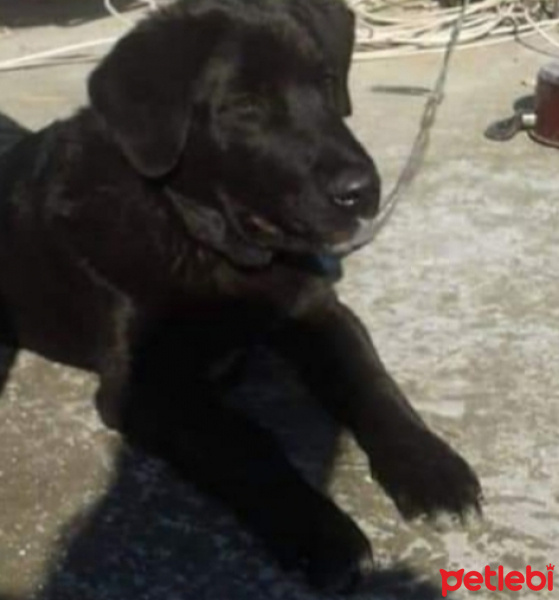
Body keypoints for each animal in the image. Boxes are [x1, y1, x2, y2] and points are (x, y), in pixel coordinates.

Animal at [0, 0, 482, 592]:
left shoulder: (318, 312)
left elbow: (372, 384)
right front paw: (319, 528)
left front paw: (430, 467)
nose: (363, 191)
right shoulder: (144, 386)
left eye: (327, 82)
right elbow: (246, 443)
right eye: (244, 107)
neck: (203, 239)